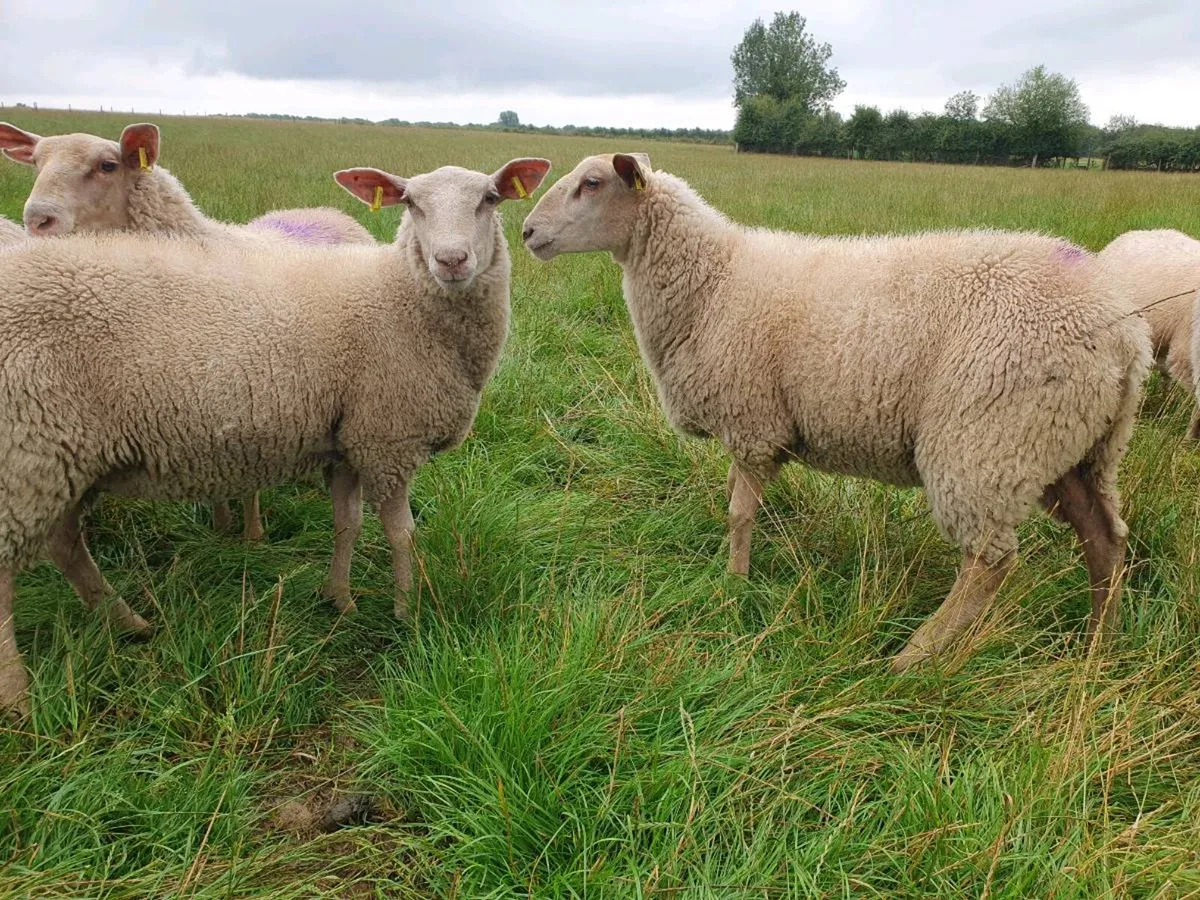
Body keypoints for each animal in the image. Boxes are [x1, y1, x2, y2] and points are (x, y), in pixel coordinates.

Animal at [0, 120, 376, 541]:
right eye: (35, 162)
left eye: (107, 165)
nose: (38, 221)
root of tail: (329, 212)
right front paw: (221, 524)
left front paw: (253, 535)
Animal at [522, 153, 1151, 671]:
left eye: (592, 183)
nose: (526, 231)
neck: (713, 280)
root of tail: (1126, 334)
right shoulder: (753, 432)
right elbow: (735, 501)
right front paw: (735, 570)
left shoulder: (753, 423)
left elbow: (739, 514)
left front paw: (734, 585)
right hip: (1076, 447)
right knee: (1106, 540)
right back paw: (1098, 646)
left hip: (987, 443)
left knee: (989, 562)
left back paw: (913, 656)